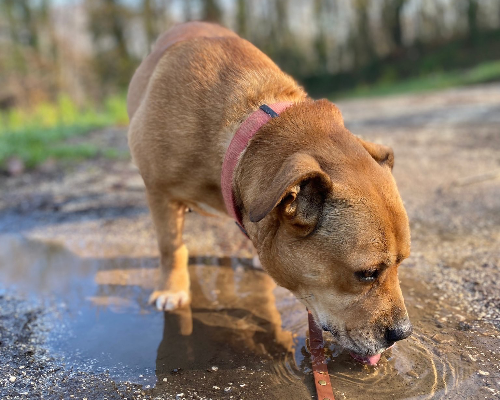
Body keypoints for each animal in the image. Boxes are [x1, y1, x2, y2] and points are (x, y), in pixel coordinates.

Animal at [127, 22, 412, 366]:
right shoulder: (158, 191)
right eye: (367, 274)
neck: (245, 134)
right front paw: (171, 288)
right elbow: (170, 246)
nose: (403, 333)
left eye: (402, 262)